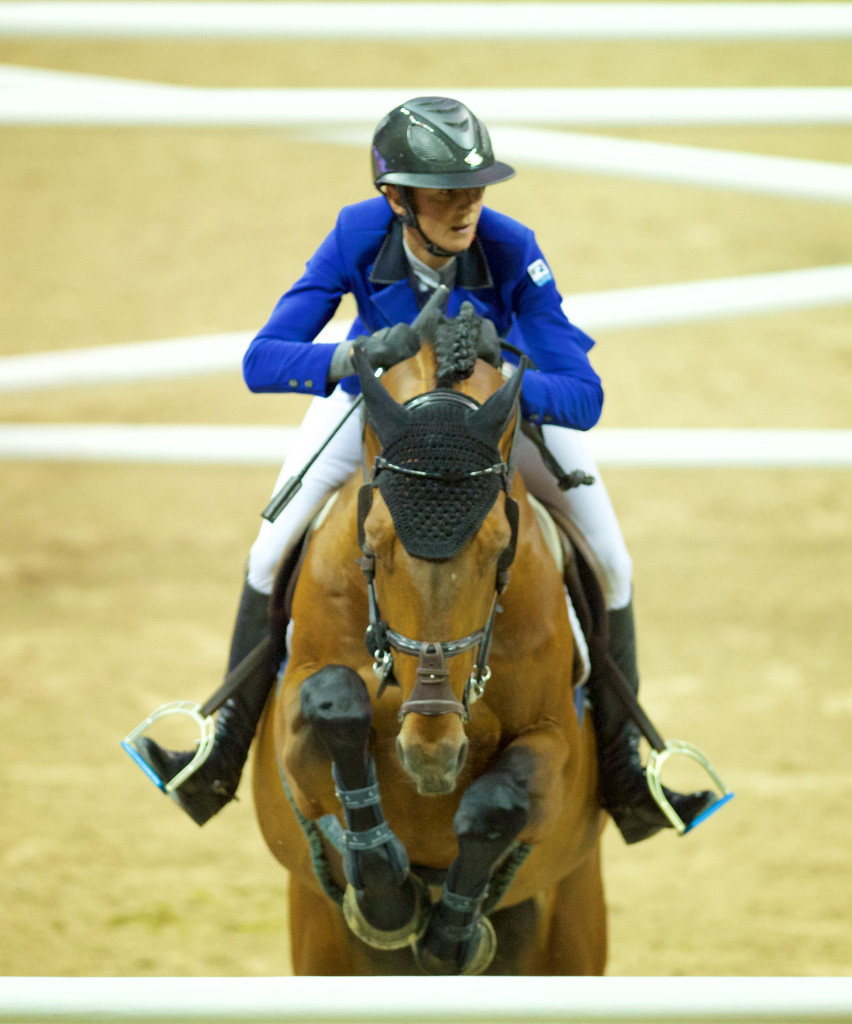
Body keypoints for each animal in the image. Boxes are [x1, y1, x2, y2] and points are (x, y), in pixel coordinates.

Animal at [249, 311, 610, 974]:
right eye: (372, 539)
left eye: (501, 545)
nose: (431, 753)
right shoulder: (293, 718)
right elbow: (330, 705)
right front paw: (387, 893)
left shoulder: (558, 738)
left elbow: (502, 802)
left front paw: (448, 935)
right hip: (317, 939)